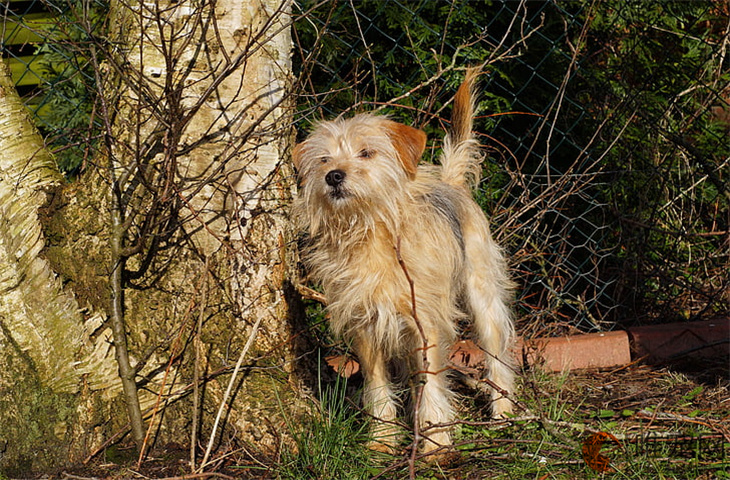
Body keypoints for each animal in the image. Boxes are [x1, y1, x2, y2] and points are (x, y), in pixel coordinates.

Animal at [290, 68, 512, 458]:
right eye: (323, 160)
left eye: (366, 153)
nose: (334, 176)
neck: (370, 232)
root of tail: (451, 183)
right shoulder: (365, 325)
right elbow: (377, 384)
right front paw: (381, 439)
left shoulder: (426, 323)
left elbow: (431, 381)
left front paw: (436, 439)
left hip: (483, 298)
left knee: (497, 354)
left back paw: (503, 412)